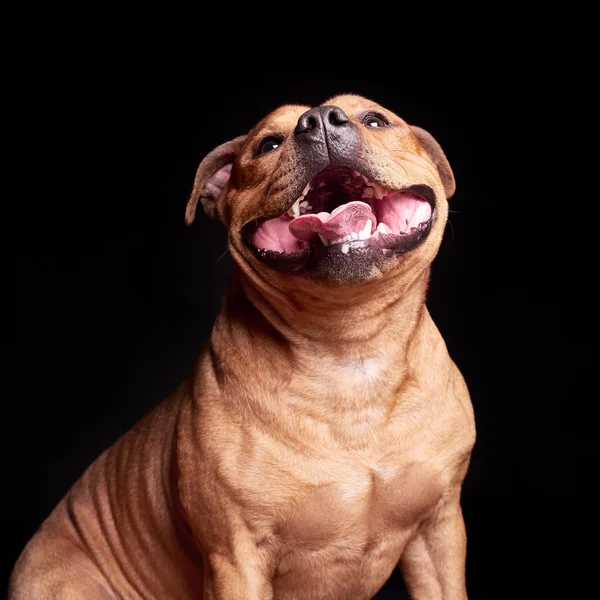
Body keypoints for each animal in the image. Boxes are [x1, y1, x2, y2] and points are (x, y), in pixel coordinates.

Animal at [9, 95, 476, 600]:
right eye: (267, 144)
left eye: (375, 120)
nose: (319, 120)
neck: (349, 347)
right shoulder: (234, 557)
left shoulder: (438, 530)